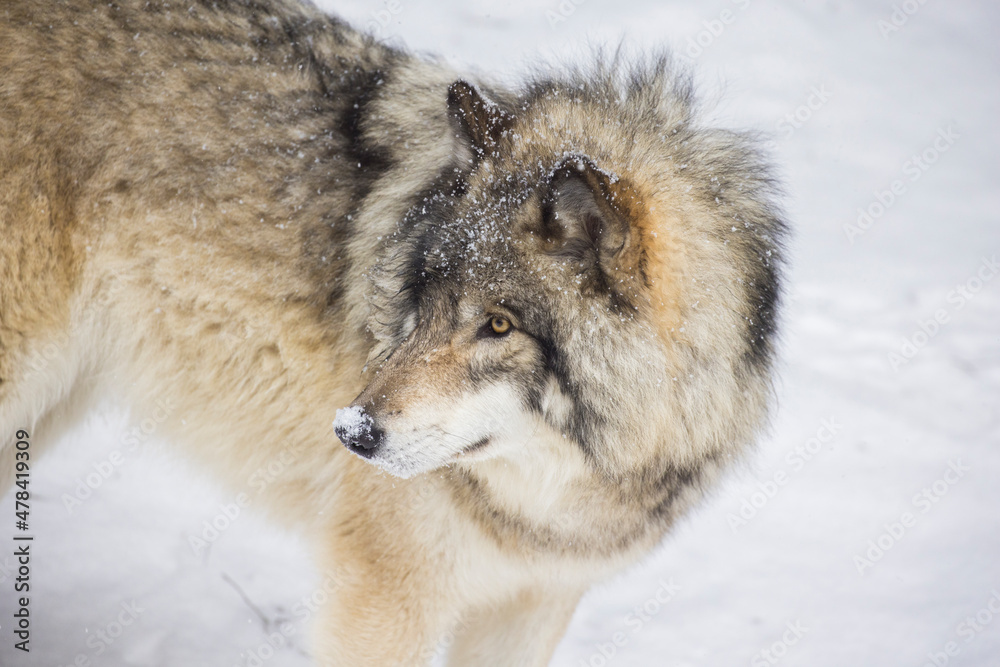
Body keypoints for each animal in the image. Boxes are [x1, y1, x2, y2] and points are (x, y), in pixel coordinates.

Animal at [0, 0, 786, 664]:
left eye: (497, 324)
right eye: (424, 299)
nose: (352, 432)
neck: (557, 488)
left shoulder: (532, 604)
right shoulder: (386, 598)